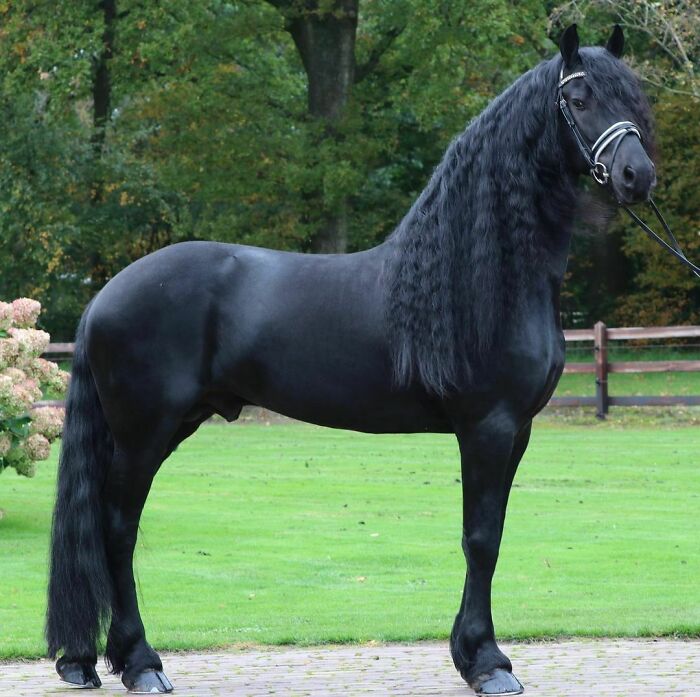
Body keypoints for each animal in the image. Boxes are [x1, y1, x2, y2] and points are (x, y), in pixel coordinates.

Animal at [46, 24, 656, 695]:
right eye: (577, 99)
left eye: (634, 97)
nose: (637, 175)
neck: (483, 279)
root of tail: (105, 293)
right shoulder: (487, 427)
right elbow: (480, 540)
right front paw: (488, 662)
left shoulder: (516, 431)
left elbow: (490, 534)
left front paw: (471, 653)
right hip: (143, 432)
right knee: (116, 529)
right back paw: (141, 663)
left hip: (167, 426)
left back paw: (90, 660)